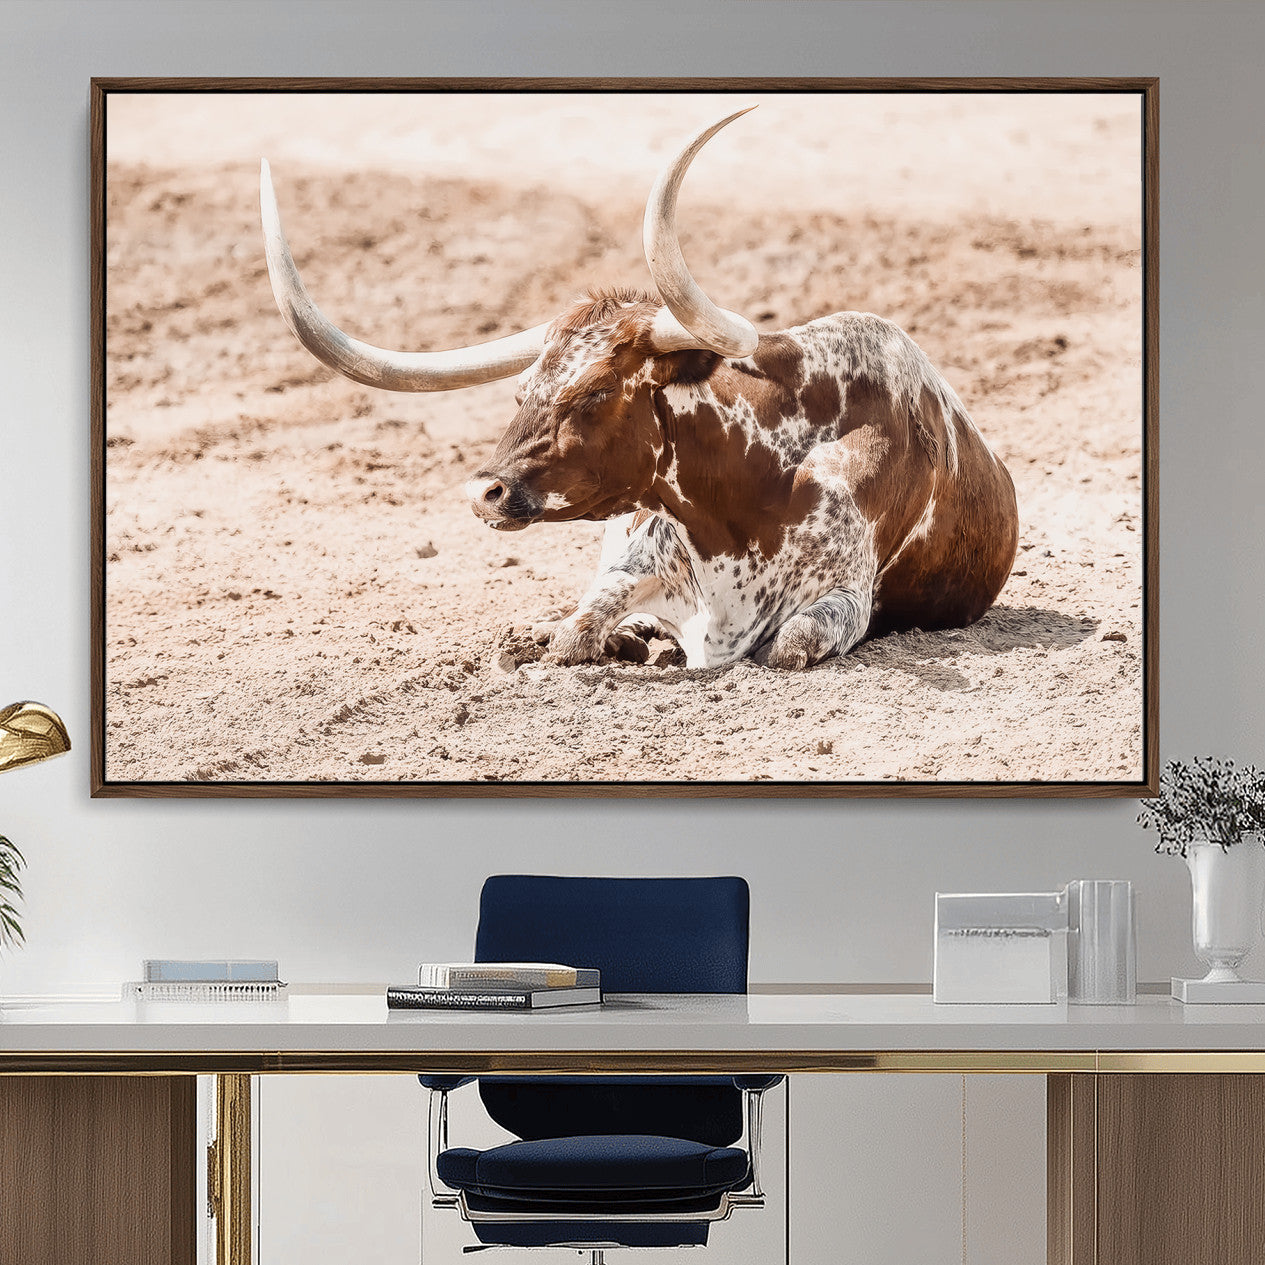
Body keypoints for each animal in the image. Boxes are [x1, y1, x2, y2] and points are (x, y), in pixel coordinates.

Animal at [260, 109, 1018, 670]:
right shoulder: (631, 561)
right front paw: (595, 638)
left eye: (596, 392)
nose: (485, 492)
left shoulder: (842, 601)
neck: (748, 495)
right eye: (522, 391)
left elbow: (786, 646)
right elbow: (576, 631)